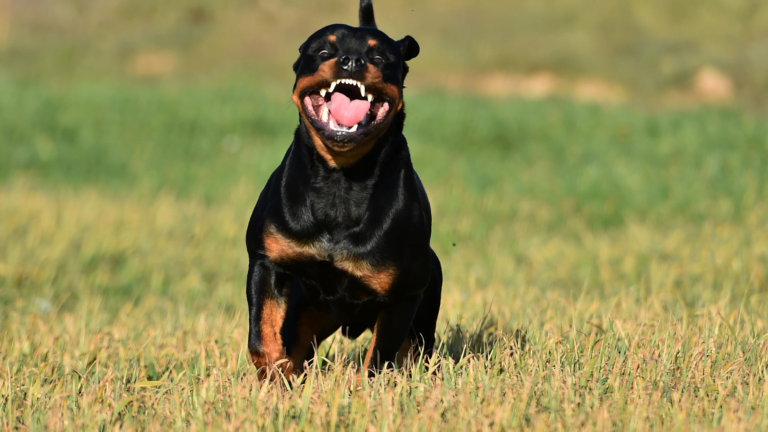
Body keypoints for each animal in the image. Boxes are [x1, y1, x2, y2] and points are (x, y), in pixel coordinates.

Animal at [244, 0, 438, 378]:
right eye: (323, 51)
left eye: (380, 57)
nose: (351, 61)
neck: (341, 181)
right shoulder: (266, 259)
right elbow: (262, 337)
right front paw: (277, 376)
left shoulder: (404, 295)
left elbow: (378, 361)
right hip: (306, 310)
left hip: (423, 313)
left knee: (416, 352)